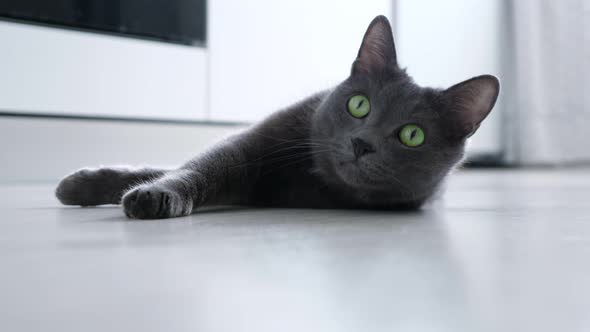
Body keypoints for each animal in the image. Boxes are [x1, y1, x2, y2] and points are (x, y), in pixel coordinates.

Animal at [54, 15, 500, 219]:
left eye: (412, 135)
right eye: (359, 105)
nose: (362, 142)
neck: (308, 179)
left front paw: (150, 197)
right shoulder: (254, 143)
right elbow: (200, 165)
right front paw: (86, 185)